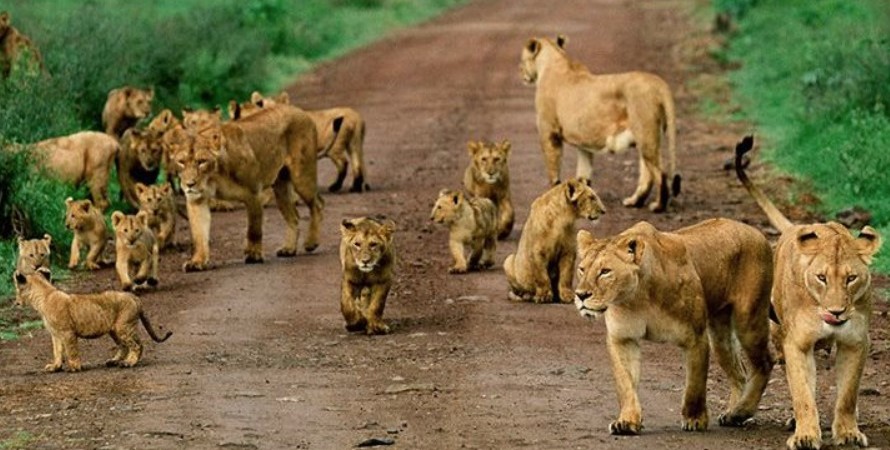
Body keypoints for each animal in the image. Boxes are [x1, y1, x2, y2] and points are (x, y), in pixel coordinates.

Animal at [12, 269, 171, 372]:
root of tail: (134, 297)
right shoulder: (55, 334)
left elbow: (71, 350)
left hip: (124, 326)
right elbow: (57, 351)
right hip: (114, 330)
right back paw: (113, 361)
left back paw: (128, 363)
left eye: (17, 290)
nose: (16, 302)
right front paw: (55, 367)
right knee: (124, 346)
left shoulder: (68, 332)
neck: (44, 296)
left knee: (137, 345)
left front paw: (74, 367)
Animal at [170, 103, 332, 272]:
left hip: (302, 176)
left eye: (201, 161)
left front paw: (254, 254)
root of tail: (301, 111)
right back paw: (288, 249)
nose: (189, 184)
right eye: (181, 162)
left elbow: (254, 229)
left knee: (318, 204)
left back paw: (311, 242)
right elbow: (199, 235)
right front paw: (197, 261)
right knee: (294, 216)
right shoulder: (196, 200)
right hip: (281, 187)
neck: (213, 177)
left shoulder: (253, 193)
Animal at [520, 35, 679, 212]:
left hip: (646, 133)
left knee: (660, 173)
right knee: (648, 173)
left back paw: (658, 206)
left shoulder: (548, 132)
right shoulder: (583, 142)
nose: (521, 72)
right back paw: (634, 202)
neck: (554, 60)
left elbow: (553, 170)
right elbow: (583, 174)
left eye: (522, 59)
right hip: (647, 136)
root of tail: (658, 83)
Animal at [574, 218, 774, 435]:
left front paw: (695, 419)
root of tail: (755, 231)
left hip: (748, 320)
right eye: (582, 269)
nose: (581, 295)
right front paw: (627, 421)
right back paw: (733, 414)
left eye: (605, 272)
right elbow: (625, 383)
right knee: (739, 373)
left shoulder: (695, 337)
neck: (638, 297)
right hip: (721, 336)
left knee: (765, 362)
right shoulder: (622, 338)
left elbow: (694, 385)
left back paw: (741, 412)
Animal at [735, 135, 882, 450]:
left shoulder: (855, 342)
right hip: (777, 332)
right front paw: (805, 435)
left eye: (851, 278)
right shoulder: (797, 344)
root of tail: (796, 227)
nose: (836, 312)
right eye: (821, 278)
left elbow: (848, 394)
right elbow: (802, 393)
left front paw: (848, 432)